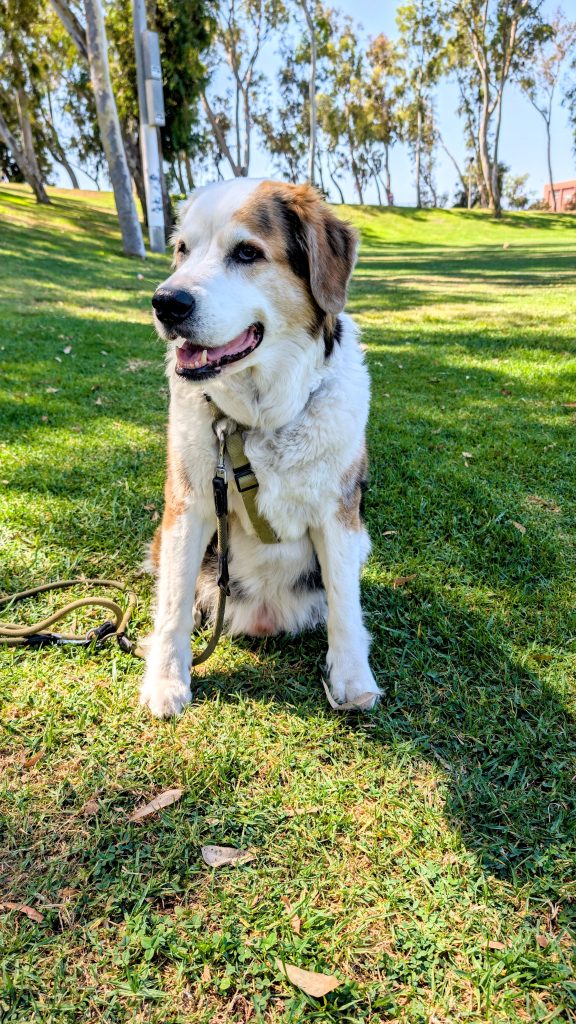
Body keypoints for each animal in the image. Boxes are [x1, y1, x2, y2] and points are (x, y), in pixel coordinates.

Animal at [139, 176, 379, 716]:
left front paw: (352, 677)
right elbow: (173, 603)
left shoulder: (339, 514)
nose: (166, 302)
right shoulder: (188, 506)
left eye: (247, 252)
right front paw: (166, 680)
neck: (257, 422)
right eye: (182, 250)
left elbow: (345, 605)